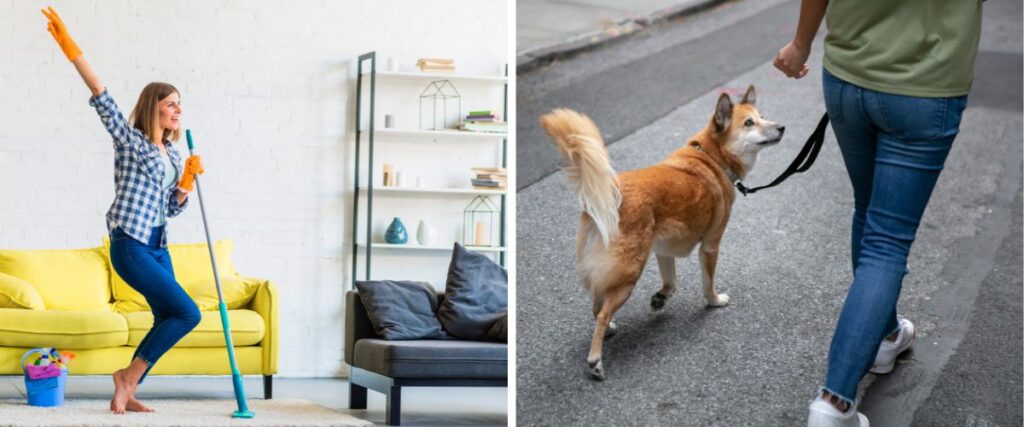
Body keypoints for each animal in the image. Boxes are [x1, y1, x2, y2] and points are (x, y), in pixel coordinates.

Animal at [536, 84, 782, 376]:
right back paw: (595, 359)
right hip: (629, 271)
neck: (712, 157)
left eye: (763, 116)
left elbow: (671, 282)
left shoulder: (664, 250)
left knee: (597, 303)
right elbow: (707, 282)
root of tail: (610, 193)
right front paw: (714, 300)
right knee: (602, 311)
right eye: (749, 123)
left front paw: (660, 299)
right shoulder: (711, 245)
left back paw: (609, 329)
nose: (781, 127)